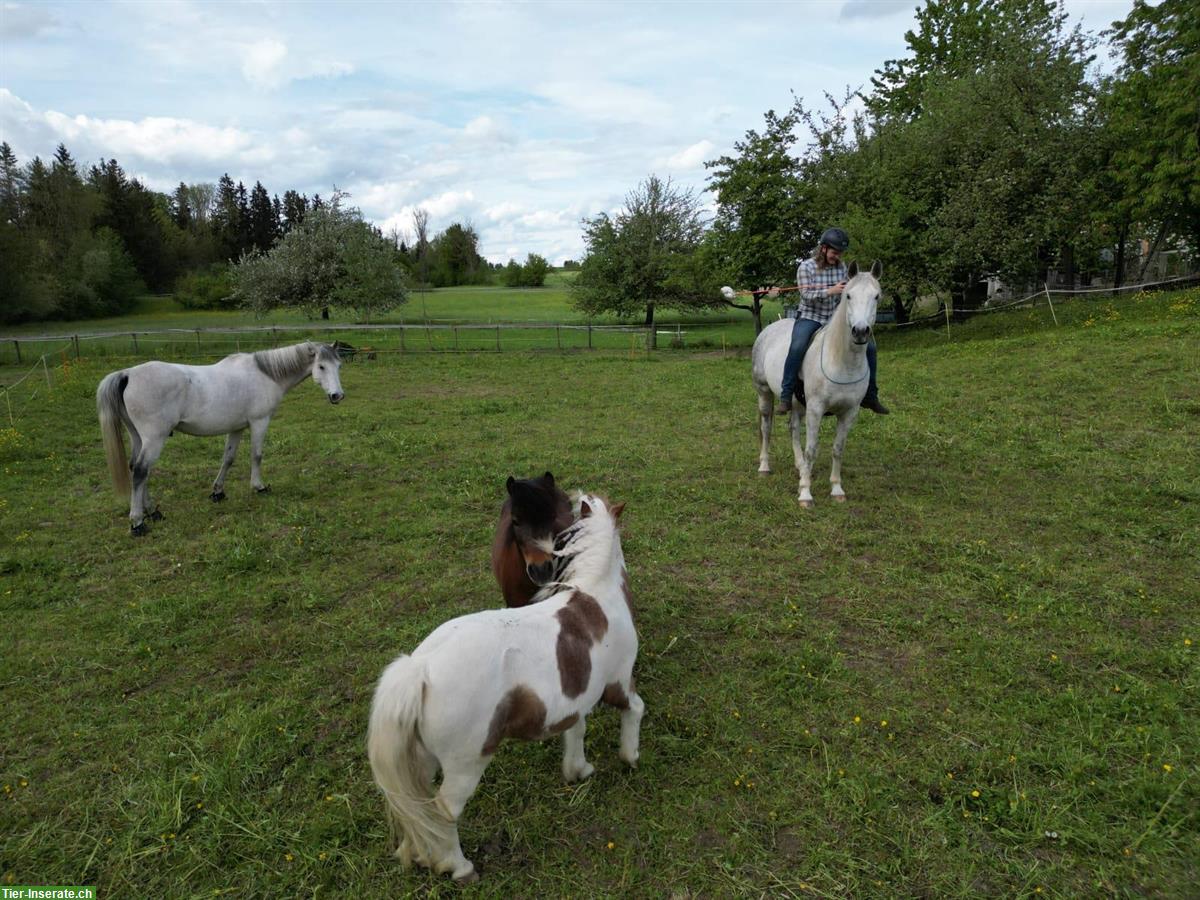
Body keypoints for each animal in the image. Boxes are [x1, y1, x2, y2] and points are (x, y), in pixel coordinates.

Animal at [96, 340, 345, 532]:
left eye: (338, 365)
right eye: (321, 366)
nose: (337, 396)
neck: (265, 375)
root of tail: (128, 374)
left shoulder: (237, 428)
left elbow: (228, 459)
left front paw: (218, 492)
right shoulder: (259, 422)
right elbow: (256, 455)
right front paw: (259, 487)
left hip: (138, 438)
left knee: (137, 469)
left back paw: (152, 512)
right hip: (154, 439)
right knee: (141, 471)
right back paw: (138, 522)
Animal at [367, 494, 643, 883]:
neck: (598, 596)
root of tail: (418, 670)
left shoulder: (572, 701)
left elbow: (576, 732)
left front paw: (579, 770)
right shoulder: (618, 683)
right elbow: (635, 709)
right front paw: (630, 756)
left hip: (420, 761)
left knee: (417, 810)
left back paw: (419, 855)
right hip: (466, 765)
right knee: (444, 811)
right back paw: (460, 868)